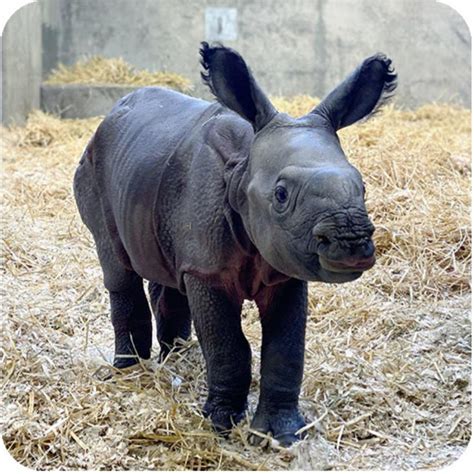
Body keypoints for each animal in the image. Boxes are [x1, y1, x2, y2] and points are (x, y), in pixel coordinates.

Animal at [75, 42, 396, 446]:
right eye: (281, 194)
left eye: (363, 187)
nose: (350, 241)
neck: (244, 170)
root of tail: (107, 118)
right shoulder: (207, 271)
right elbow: (228, 345)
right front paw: (221, 425)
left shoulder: (285, 270)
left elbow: (286, 350)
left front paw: (282, 434)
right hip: (92, 168)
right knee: (118, 267)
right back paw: (130, 371)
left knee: (166, 270)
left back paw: (176, 358)